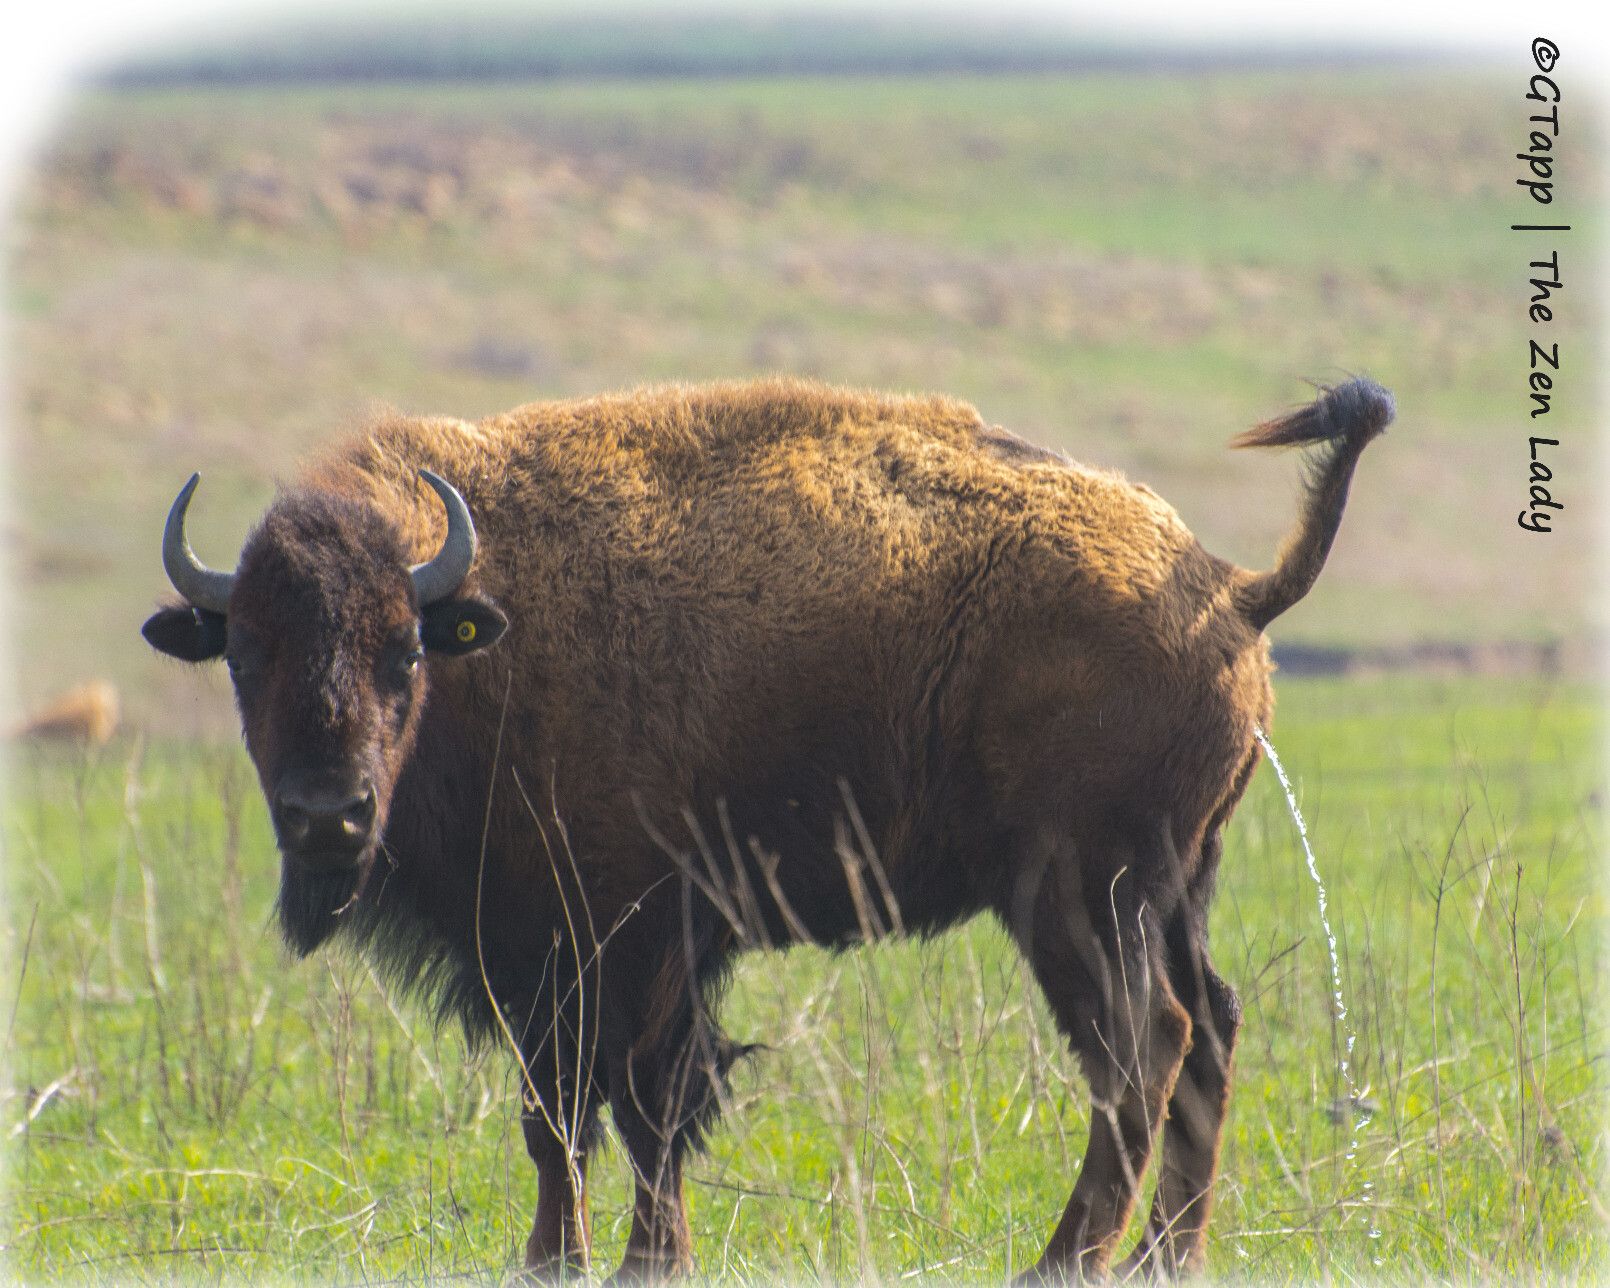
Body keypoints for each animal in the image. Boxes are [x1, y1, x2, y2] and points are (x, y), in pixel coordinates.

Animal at [143, 376, 1391, 1281]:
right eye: (244, 651)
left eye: (403, 649)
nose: (328, 814)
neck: (492, 626)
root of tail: (1227, 585)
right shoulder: (535, 952)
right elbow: (555, 1117)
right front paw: (551, 1260)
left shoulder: (635, 936)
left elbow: (642, 1106)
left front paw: (645, 1261)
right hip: (1175, 883)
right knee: (1208, 1032)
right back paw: (1158, 1260)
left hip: (1081, 893)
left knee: (1143, 1048)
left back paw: (1063, 1262)